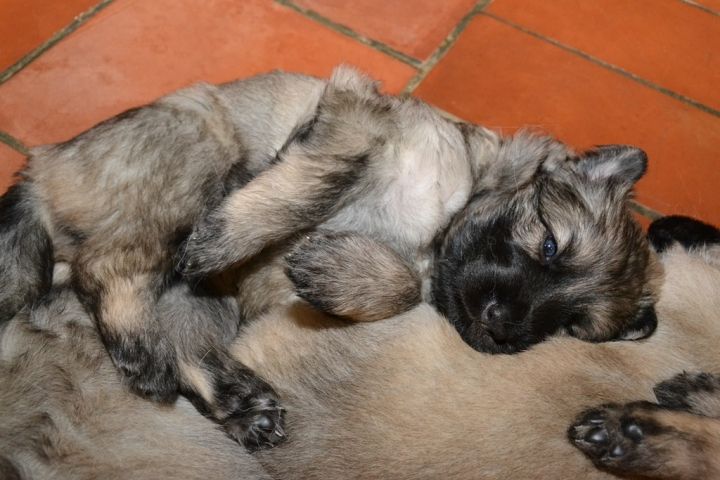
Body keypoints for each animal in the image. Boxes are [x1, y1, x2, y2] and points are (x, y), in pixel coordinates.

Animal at [0, 66, 658, 448]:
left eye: (570, 324)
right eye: (549, 244)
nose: (500, 326)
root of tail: (40, 170)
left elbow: (401, 285)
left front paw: (336, 270)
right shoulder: (355, 112)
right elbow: (317, 178)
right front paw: (229, 238)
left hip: (204, 297)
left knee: (181, 338)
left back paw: (238, 402)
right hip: (189, 159)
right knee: (111, 267)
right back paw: (145, 343)